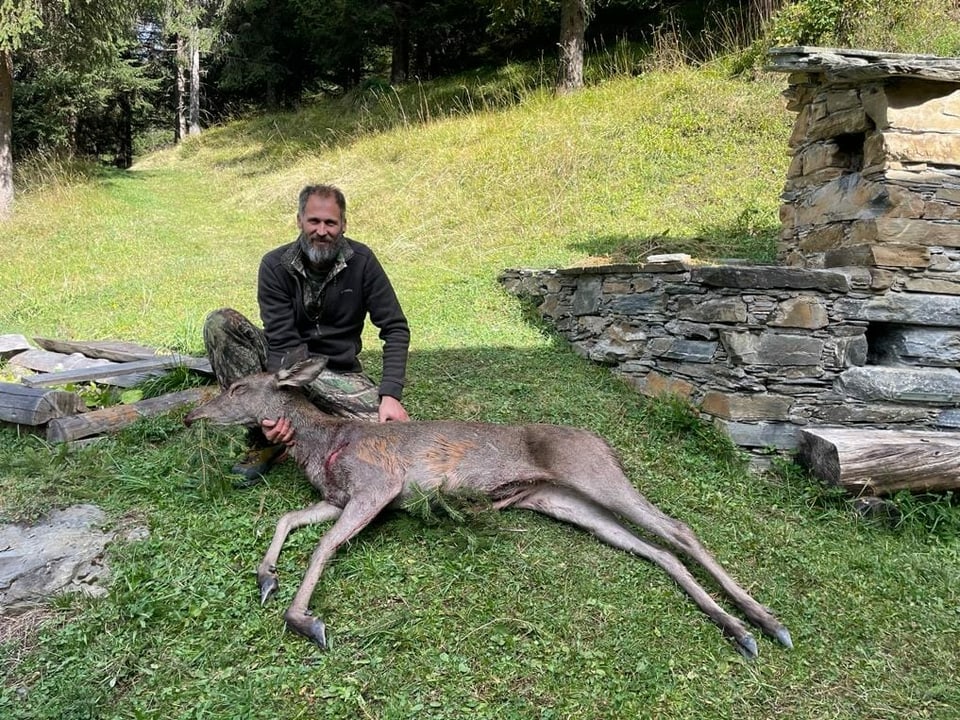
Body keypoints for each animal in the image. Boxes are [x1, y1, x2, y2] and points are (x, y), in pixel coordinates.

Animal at [184, 356, 792, 660]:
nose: (191, 417)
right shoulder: (339, 498)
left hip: (594, 474)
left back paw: (765, 622)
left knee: (678, 529)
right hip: (565, 501)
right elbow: (289, 518)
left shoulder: (378, 487)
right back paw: (738, 630)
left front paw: (305, 619)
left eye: (237, 387)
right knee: (653, 550)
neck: (322, 448)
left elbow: (325, 547)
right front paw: (266, 578)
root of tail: (603, 443)